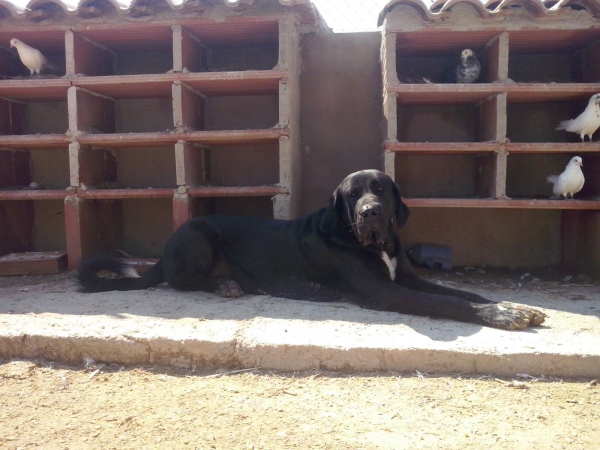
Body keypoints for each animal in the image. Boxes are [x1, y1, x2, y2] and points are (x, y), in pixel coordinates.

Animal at [77, 170, 548, 330]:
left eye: (381, 189)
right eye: (352, 195)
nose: (370, 212)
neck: (369, 242)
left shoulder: (407, 277)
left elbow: (464, 293)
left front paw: (513, 306)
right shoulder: (386, 292)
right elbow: (450, 304)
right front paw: (500, 316)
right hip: (198, 233)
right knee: (181, 280)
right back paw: (225, 285)